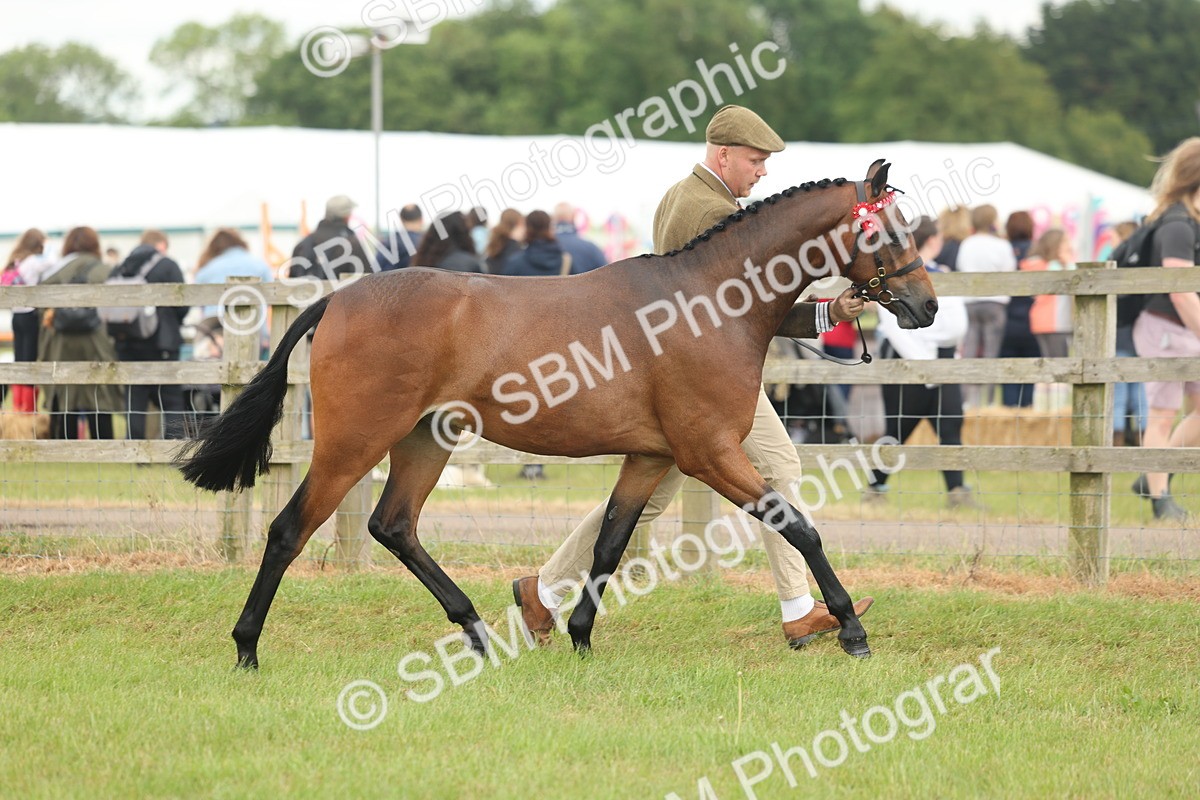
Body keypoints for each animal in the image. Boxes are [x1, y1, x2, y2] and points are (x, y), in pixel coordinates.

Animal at [178, 160, 937, 669]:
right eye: (889, 232)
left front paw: (578, 636)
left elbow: (609, 543)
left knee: (393, 525)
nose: (926, 306)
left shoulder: (652, 456)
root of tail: (338, 298)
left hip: (425, 439)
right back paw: (247, 648)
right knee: (289, 530)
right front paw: (850, 630)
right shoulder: (709, 453)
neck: (708, 303)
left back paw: (479, 635)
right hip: (353, 441)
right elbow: (798, 527)